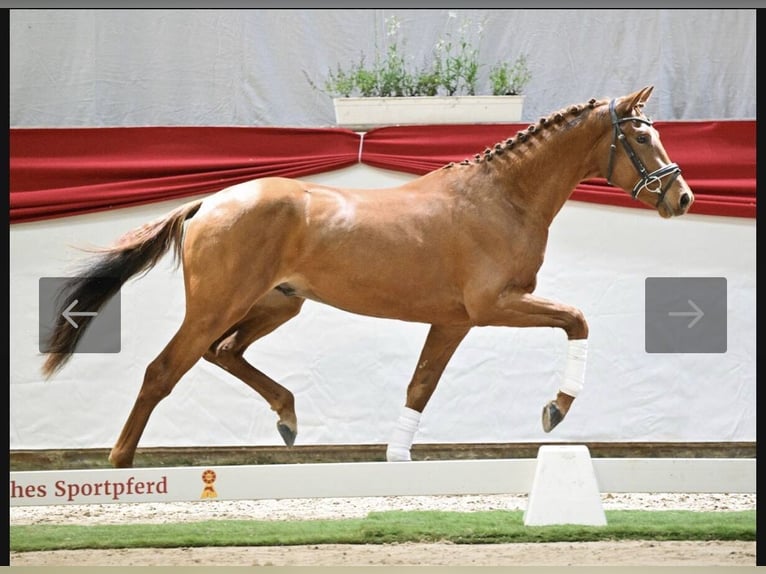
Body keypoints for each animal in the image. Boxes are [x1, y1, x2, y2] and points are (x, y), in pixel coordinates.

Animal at [42, 86, 694, 468]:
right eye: (641, 135)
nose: (682, 197)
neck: (501, 198)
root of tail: (209, 203)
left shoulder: (454, 321)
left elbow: (420, 386)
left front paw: (396, 460)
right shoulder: (495, 305)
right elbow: (577, 320)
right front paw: (556, 410)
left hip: (278, 304)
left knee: (223, 353)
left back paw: (287, 416)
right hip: (216, 306)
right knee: (162, 371)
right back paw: (121, 466)